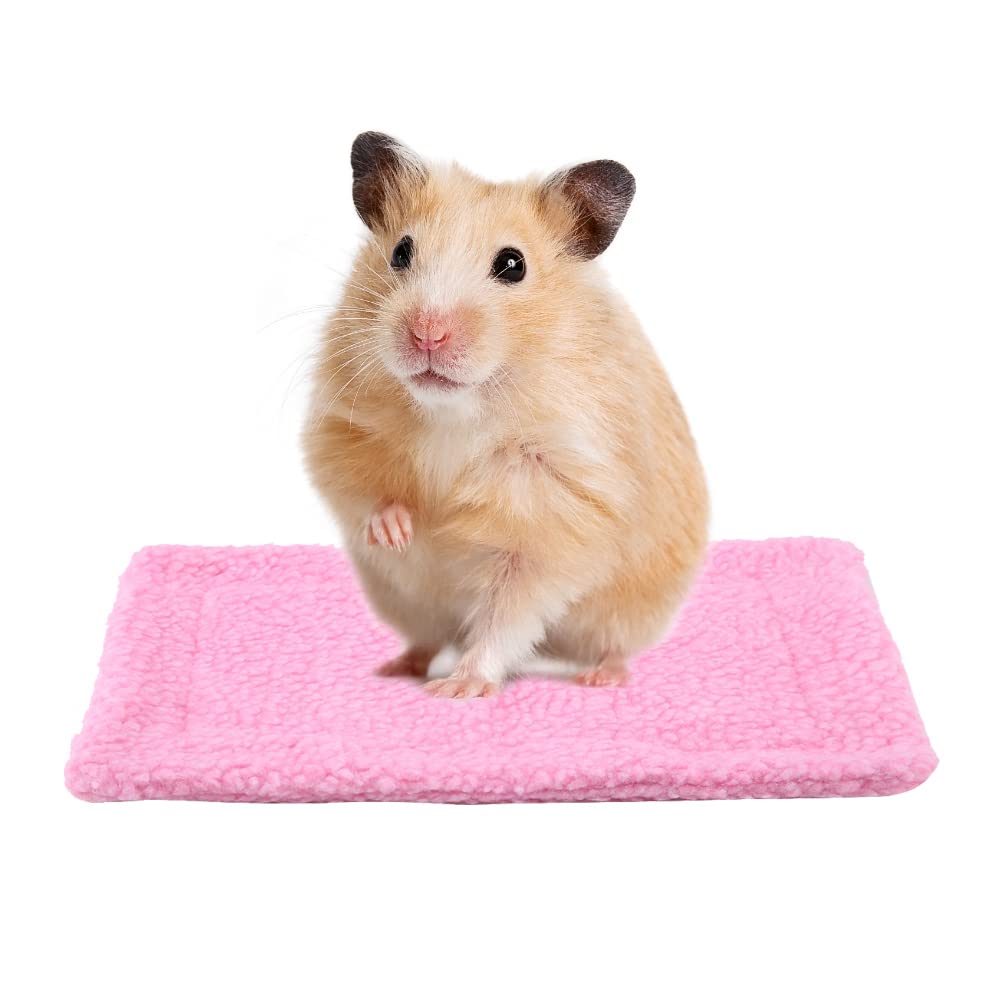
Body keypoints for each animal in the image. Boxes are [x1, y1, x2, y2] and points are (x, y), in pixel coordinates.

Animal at [302, 131, 709, 698]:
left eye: (513, 265)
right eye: (401, 251)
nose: (427, 334)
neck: (455, 410)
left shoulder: (553, 514)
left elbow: (506, 614)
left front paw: (460, 688)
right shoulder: (340, 425)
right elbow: (364, 490)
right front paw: (399, 531)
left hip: (631, 610)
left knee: (611, 644)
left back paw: (600, 678)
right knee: (426, 638)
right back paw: (396, 666)